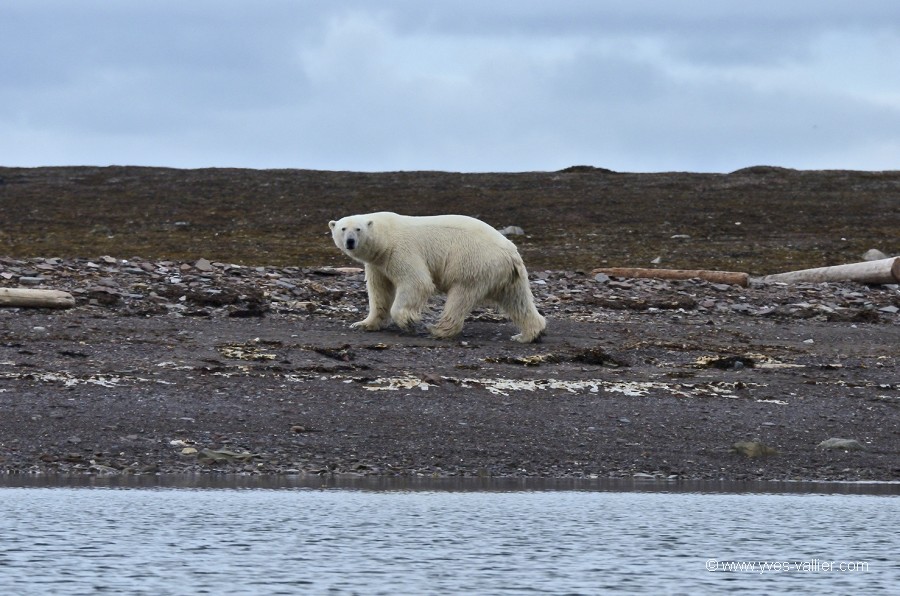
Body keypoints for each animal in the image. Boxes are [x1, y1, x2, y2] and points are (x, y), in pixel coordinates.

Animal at [328, 212, 544, 342]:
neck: (385, 238)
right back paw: (528, 334)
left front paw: (408, 321)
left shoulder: (399, 251)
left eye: (358, 229)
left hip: (472, 262)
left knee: (460, 296)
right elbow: (379, 291)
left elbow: (417, 282)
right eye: (342, 228)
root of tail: (511, 251)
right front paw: (363, 324)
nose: (350, 241)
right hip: (509, 275)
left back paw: (438, 329)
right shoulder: (377, 264)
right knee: (517, 300)